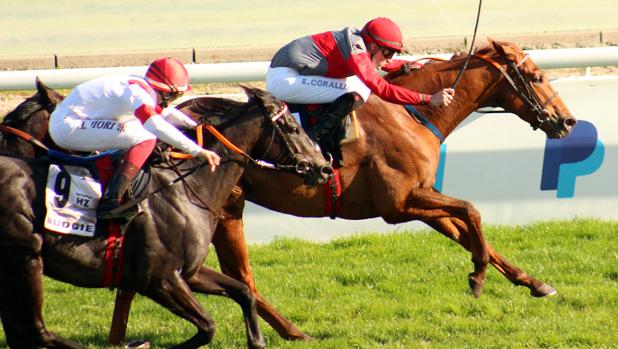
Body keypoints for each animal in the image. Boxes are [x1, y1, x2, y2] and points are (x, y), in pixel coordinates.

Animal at [0, 85, 330, 346]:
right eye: (292, 128)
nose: (324, 167)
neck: (187, 186)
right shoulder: (159, 280)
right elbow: (208, 326)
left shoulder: (188, 273)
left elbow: (243, 293)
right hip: (26, 261)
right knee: (34, 331)